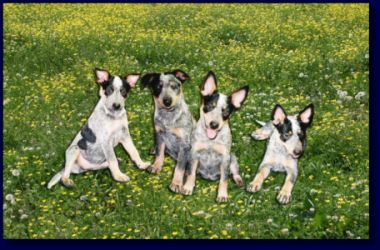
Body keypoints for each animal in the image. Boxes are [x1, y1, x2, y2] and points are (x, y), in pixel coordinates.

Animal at [182, 71, 249, 203]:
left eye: (226, 111)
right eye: (210, 106)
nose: (214, 124)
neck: (211, 141)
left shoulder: (225, 158)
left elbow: (224, 180)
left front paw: (222, 195)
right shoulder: (194, 153)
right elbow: (192, 172)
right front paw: (188, 187)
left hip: (232, 158)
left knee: (234, 172)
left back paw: (238, 180)